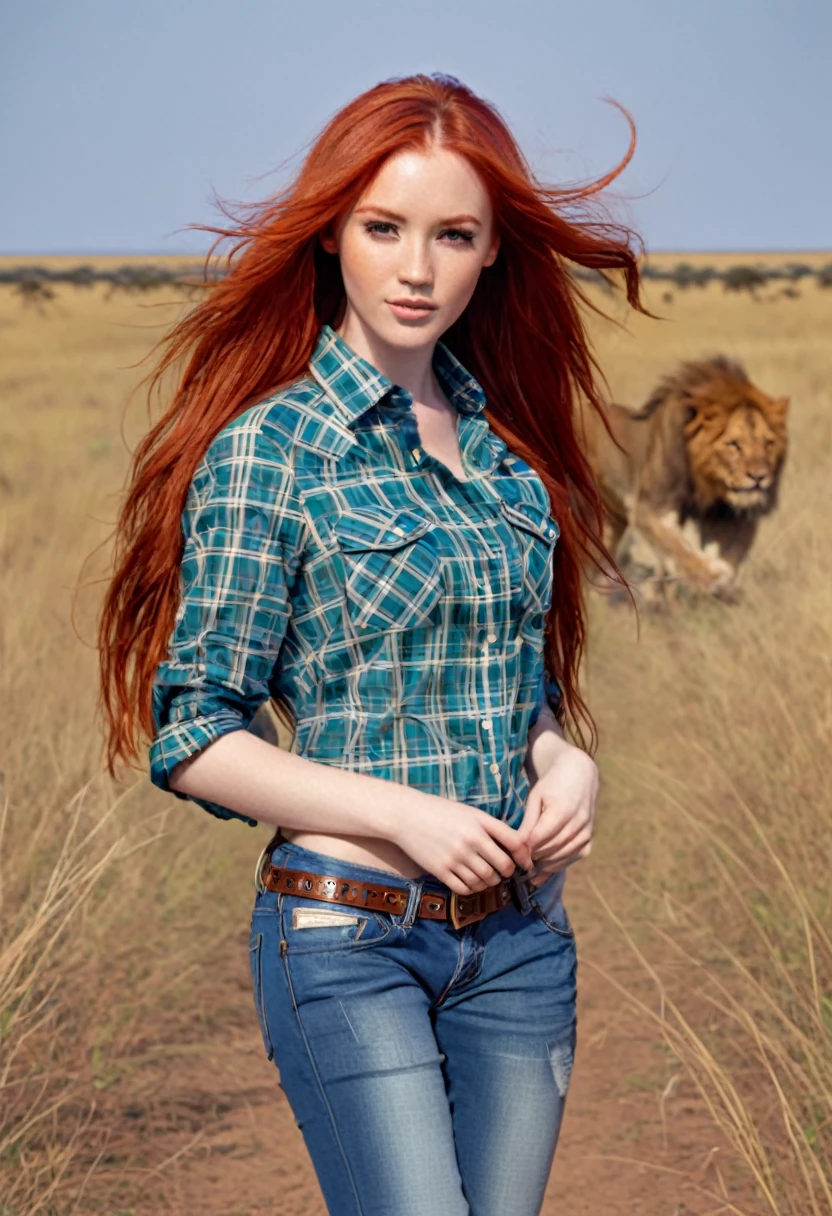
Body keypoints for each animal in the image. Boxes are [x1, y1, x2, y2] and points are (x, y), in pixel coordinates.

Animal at [574, 355, 788, 595]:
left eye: (768, 443)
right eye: (733, 444)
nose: (759, 477)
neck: (704, 483)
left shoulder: (729, 514)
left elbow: (730, 551)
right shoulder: (650, 507)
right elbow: (677, 548)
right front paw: (711, 576)